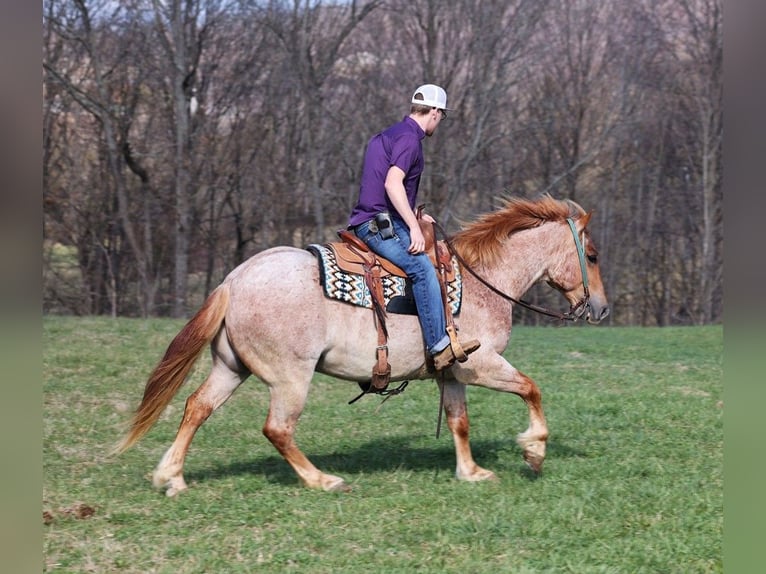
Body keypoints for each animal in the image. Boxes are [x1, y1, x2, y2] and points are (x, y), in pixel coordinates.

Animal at [115, 195, 609, 495]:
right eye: (593, 255)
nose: (602, 309)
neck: (482, 281)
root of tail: (234, 280)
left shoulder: (451, 372)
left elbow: (459, 422)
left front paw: (470, 472)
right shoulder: (481, 363)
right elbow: (531, 388)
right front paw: (534, 451)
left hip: (231, 367)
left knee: (197, 407)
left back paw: (172, 477)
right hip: (290, 377)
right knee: (278, 429)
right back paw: (322, 480)